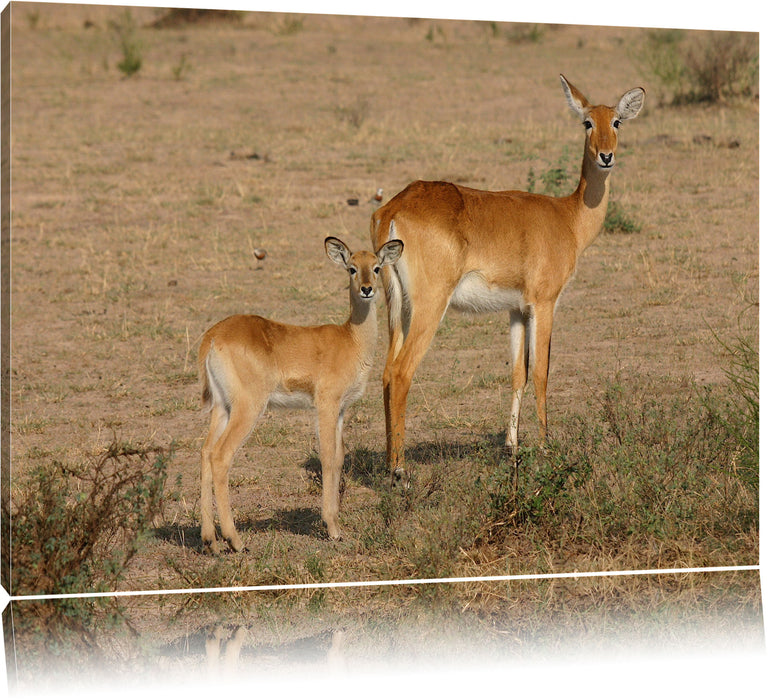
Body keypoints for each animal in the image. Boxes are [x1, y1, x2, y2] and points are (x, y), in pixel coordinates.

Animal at [198, 236, 404, 551]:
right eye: (351, 268)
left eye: (377, 267)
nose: (367, 289)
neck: (350, 340)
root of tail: (212, 337)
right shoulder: (326, 405)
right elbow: (328, 458)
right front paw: (332, 528)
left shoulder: (341, 410)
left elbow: (339, 458)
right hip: (248, 408)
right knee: (221, 456)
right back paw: (236, 541)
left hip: (222, 407)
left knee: (206, 451)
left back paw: (210, 539)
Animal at [371, 74, 645, 475]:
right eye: (587, 122)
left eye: (617, 122)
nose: (606, 156)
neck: (568, 217)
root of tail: (394, 208)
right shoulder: (545, 304)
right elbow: (542, 372)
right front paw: (545, 447)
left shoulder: (517, 309)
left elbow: (519, 372)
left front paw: (512, 446)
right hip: (429, 306)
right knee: (402, 372)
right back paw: (400, 471)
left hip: (398, 307)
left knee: (387, 371)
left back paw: (391, 462)